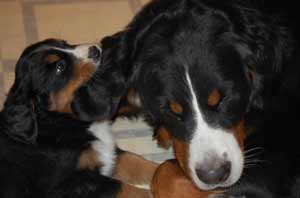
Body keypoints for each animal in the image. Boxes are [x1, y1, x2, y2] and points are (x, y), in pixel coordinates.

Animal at [0, 38, 157, 198]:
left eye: (65, 43)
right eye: (60, 67)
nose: (95, 49)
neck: (57, 121)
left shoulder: (104, 152)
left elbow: (136, 161)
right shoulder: (72, 182)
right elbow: (123, 188)